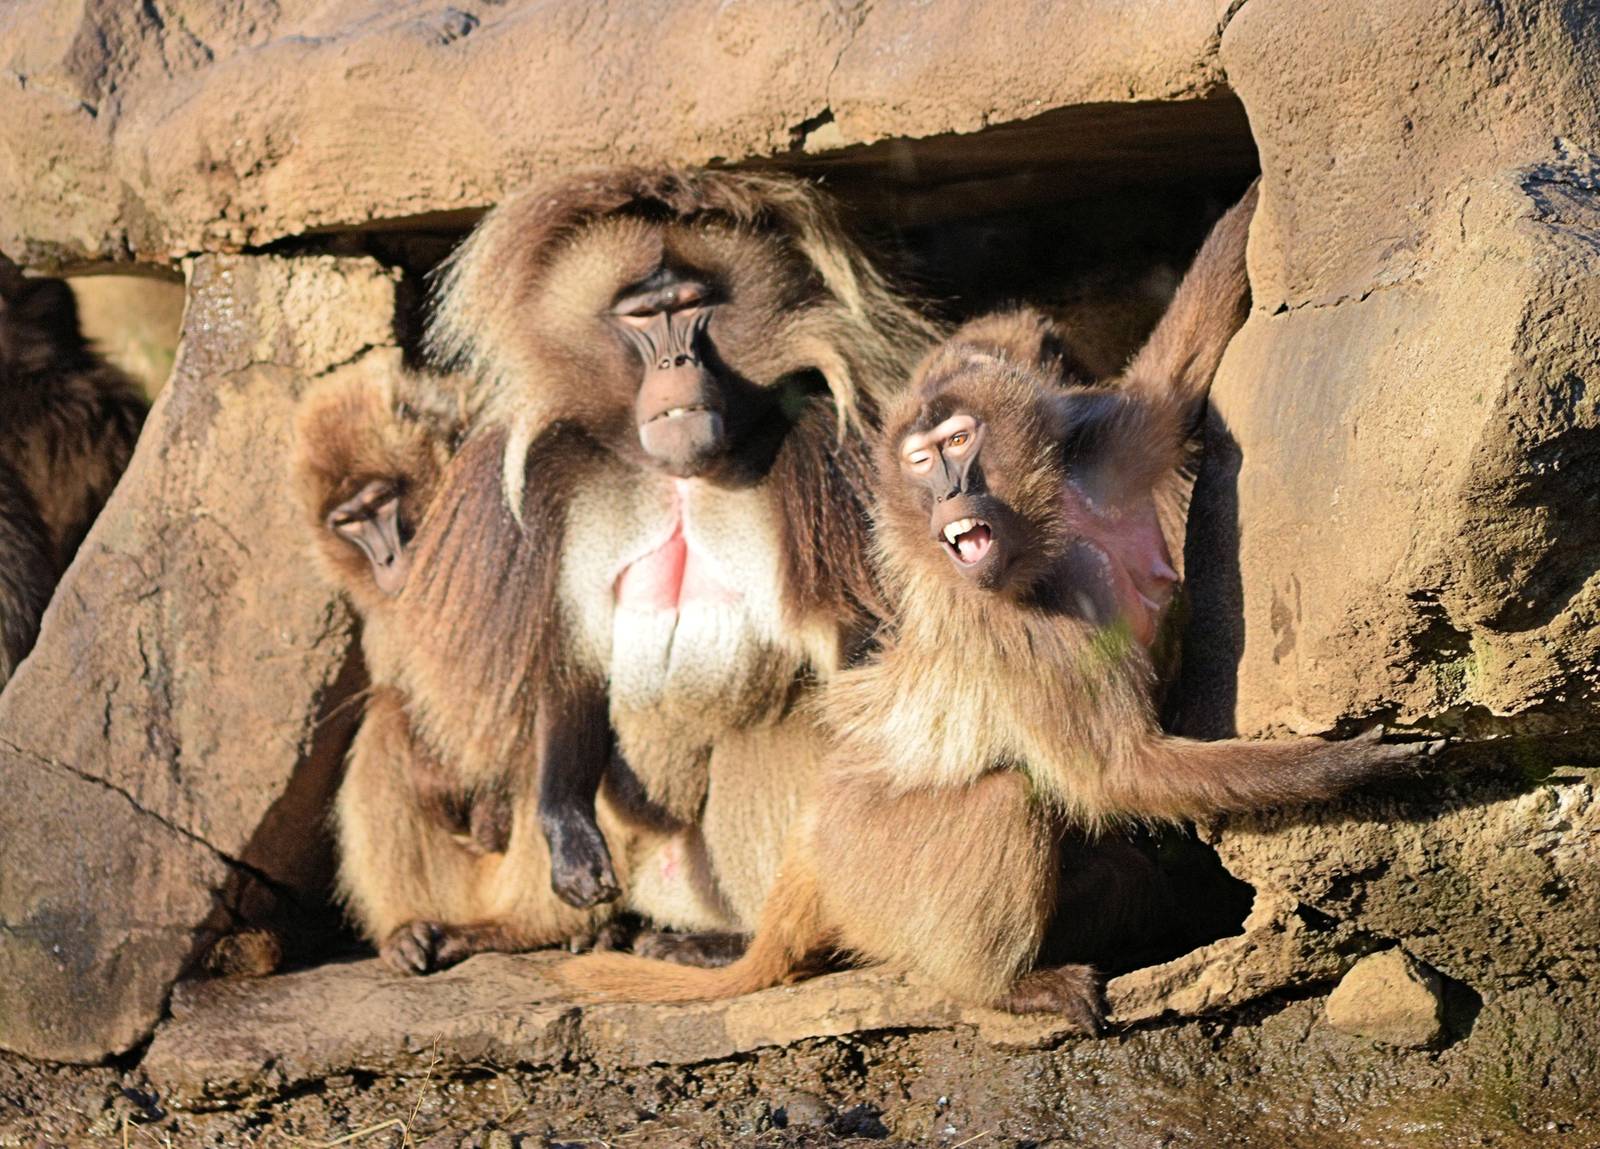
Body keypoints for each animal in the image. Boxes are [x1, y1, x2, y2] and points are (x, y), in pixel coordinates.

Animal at [293, 366, 614, 973]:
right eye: (348, 522)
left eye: (381, 501)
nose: (386, 558)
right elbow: (408, 691)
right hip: (461, 884)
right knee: (390, 716)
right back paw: (411, 932)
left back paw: (527, 928)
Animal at [381, 166, 942, 971]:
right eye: (645, 316)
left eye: (693, 307)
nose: (679, 364)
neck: (682, 477)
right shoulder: (557, 485)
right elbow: (575, 662)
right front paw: (567, 837)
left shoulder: (831, 460)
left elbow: (860, 639)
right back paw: (526, 930)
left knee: (780, 735)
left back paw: (737, 941)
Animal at [556, 185, 1442, 1023]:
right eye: (920, 461)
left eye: (957, 443)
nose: (950, 491)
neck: (1045, 543)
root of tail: (806, 850)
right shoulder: (1011, 627)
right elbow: (1123, 770)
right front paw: (1355, 766)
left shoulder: (1102, 454)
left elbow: (1175, 368)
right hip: (870, 866)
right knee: (1008, 800)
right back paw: (1002, 987)